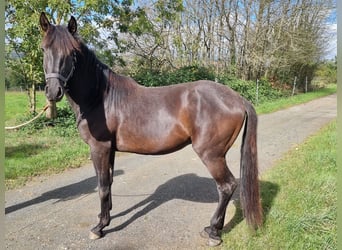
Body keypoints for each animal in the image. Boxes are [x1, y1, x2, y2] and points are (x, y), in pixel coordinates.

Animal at [39, 12, 262, 245]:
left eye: (72, 53)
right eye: (43, 49)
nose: (53, 91)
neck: (100, 97)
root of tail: (237, 98)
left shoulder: (99, 148)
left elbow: (102, 187)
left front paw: (99, 227)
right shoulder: (110, 150)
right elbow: (109, 184)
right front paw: (105, 217)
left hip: (212, 155)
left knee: (226, 186)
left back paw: (213, 232)